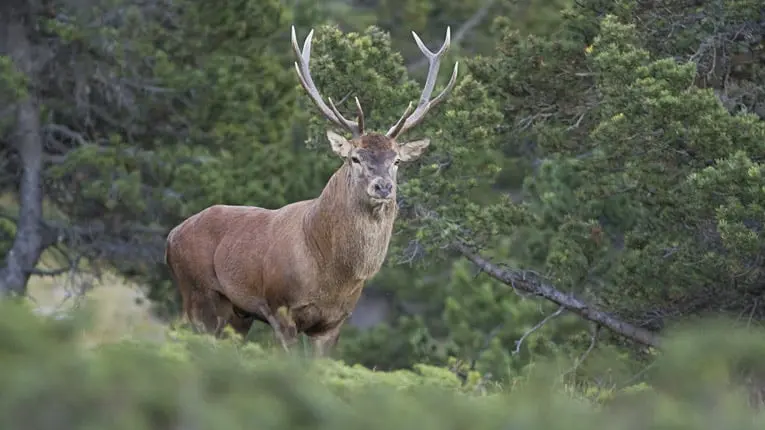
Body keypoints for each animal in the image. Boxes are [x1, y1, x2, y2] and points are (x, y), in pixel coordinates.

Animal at [164, 25, 459, 357]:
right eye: (355, 157)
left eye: (396, 160)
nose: (383, 186)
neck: (330, 275)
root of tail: (171, 236)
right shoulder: (279, 308)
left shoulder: (334, 322)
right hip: (197, 292)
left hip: (237, 313)